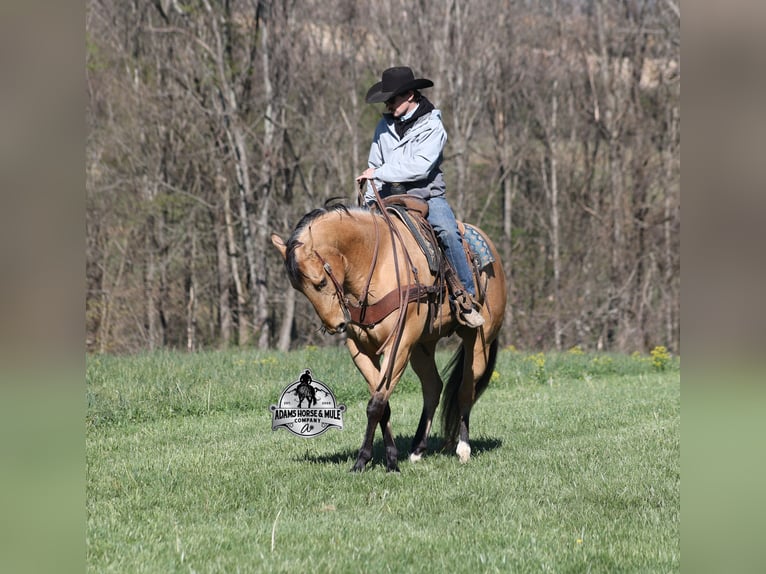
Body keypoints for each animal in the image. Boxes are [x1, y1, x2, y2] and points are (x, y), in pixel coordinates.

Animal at [271, 203, 506, 472]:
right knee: (433, 387)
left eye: (320, 282)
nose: (336, 325)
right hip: (422, 347)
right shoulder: (361, 349)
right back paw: (417, 450)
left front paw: (363, 461)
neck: (375, 265)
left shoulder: (399, 344)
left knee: (465, 390)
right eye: (298, 288)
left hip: (478, 340)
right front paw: (390, 457)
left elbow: (376, 404)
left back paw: (463, 448)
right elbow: (382, 404)